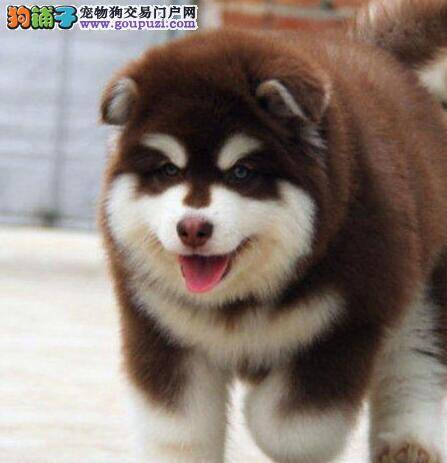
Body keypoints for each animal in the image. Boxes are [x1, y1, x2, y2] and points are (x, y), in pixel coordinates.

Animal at [99, 1, 447, 462]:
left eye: (242, 172)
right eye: (168, 170)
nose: (192, 228)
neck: (244, 299)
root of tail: (384, 56)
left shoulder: (347, 324)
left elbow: (289, 427)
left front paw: (259, 408)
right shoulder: (162, 330)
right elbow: (180, 431)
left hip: (427, 287)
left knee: (417, 362)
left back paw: (409, 444)